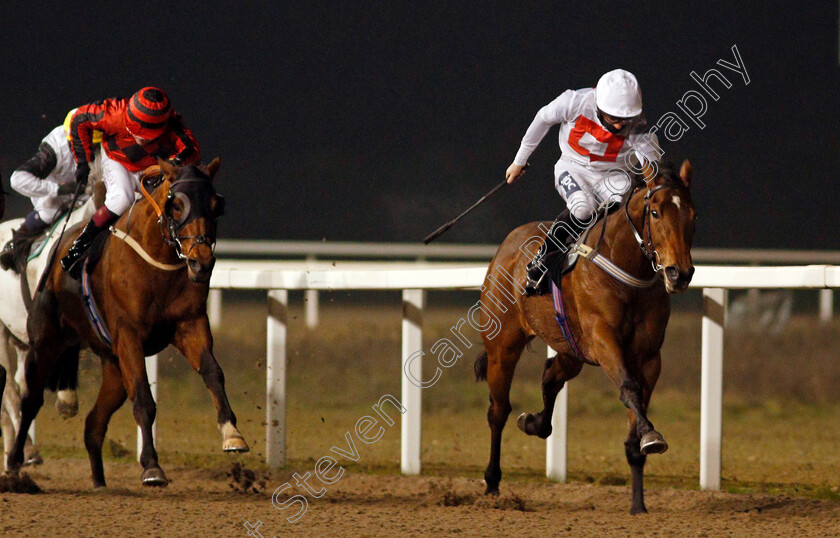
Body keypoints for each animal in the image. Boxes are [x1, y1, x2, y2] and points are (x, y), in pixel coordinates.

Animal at [476, 159, 700, 510]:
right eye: (655, 212)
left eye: (693, 216)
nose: (680, 274)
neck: (627, 268)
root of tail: (509, 243)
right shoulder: (605, 341)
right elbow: (628, 388)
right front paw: (652, 434)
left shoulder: (650, 356)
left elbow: (637, 408)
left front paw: (638, 503)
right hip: (502, 347)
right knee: (498, 411)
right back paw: (492, 482)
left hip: (570, 350)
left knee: (550, 378)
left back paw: (533, 422)